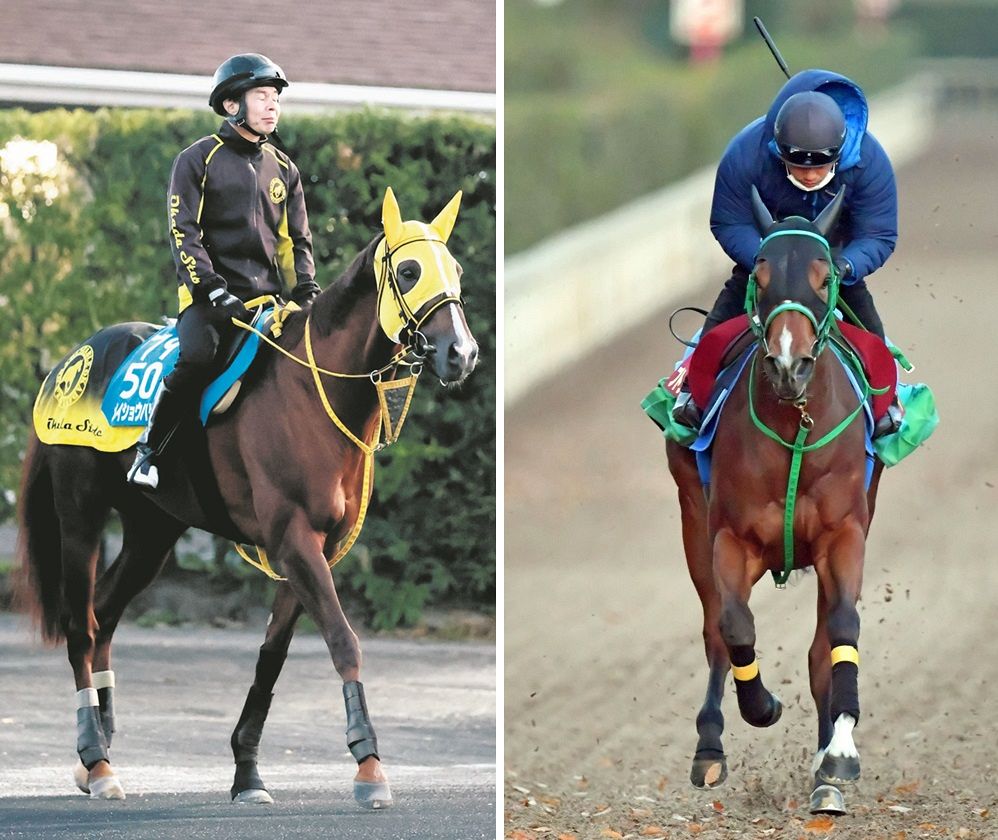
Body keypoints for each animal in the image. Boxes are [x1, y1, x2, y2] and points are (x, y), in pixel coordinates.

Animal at [16, 187, 479, 806]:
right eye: (408, 271)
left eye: (456, 270)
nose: (462, 353)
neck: (311, 391)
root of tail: (70, 362)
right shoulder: (292, 540)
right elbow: (343, 639)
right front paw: (368, 766)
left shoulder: (315, 548)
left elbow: (272, 657)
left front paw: (248, 772)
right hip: (81, 515)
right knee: (81, 626)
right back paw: (96, 758)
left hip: (152, 532)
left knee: (106, 615)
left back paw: (99, 751)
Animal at [665, 186, 885, 816]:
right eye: (760, 274)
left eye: (825, 274)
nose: (789, 364)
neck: (795, 426)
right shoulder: (729, 537)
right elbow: (735, 626)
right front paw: (761, 707)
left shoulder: (845, 533)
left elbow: (839, 633)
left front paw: (838, 755)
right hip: (691, 519)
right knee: (714, 628)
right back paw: (710, 747)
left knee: (819, 648)